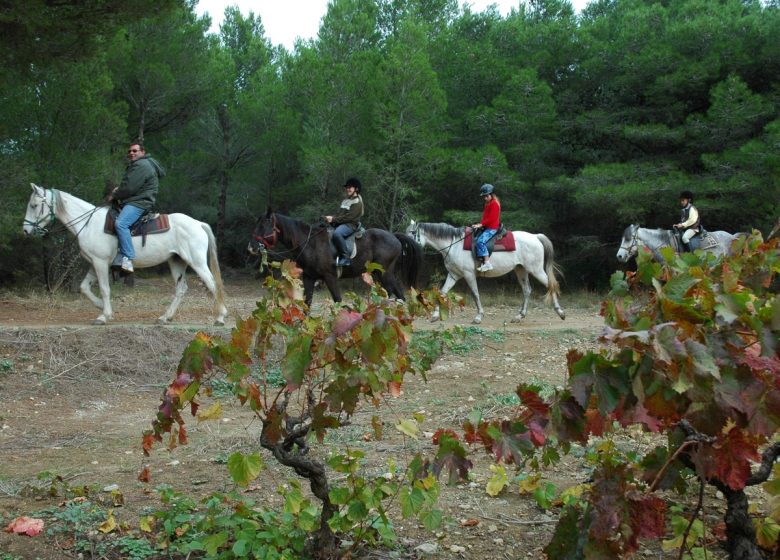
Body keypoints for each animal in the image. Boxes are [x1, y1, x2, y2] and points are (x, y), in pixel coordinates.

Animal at [21, 184, 227, 326]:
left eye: (34, 205)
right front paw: (101, 307)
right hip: (177, 262)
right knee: (181, 289)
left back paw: (220, 317)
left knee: (212, 284)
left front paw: (104, 316)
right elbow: (84, 287)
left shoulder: (100, 263)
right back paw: (165, 317)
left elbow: (104, 289)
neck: (89, 224)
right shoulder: (94, 263)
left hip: (197, 262)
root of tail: (198, 223)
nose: (25, 230)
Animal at [248, 210, 420, 306]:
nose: (251, 247)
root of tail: (395, 237)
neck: (310, 243)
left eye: (263, 226)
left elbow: (338, 300)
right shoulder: (309, 277)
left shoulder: (330, 277)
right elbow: (307, 303)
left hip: (385, 274)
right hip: (380, 275)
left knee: (398, 296)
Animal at [406, 220, 564, 324]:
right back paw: (520, 316)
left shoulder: (468, 274)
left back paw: (560, 312)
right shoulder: (454, 275)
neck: (454, 245)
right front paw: (434, 316)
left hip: (535, 270)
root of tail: (535, 237)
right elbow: (442, 292)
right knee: (527, 290)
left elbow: (475, 294)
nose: (407, 248)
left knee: (551, 285)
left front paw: (478, 317)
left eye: (412, 233)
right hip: (521, 270)